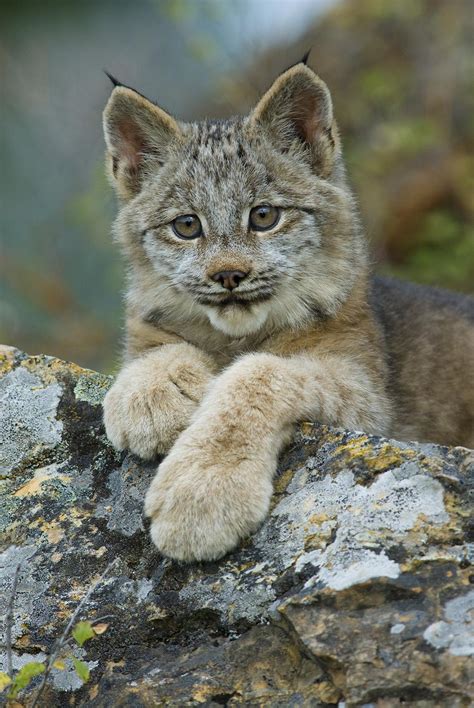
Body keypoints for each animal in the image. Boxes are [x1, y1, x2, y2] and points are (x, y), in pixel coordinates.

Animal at [102, 62, 472, 560]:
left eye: (264, 216)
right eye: (186, 226)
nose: (228, 275)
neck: (235, 334)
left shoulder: (369, 401)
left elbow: (260, 371)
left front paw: (203, 492)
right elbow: (153, 345)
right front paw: (150, 394)